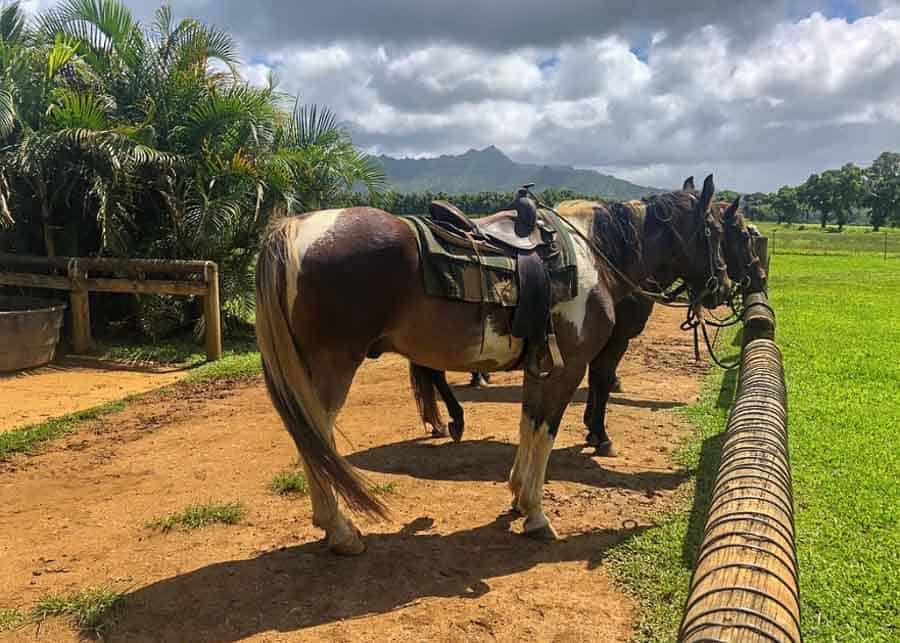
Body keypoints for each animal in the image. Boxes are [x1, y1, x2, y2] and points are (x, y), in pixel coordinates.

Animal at [255, 174, 732, 556]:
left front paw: (519, 496)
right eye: (718, 230)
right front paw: (536, 514)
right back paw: (340, 530)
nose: (724, 286)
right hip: (333, 366)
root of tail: (294, 229)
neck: (592, 258)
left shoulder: (540, 366)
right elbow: (546, 431)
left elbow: (528, 424)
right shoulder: (570, 368)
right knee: (315, 438)